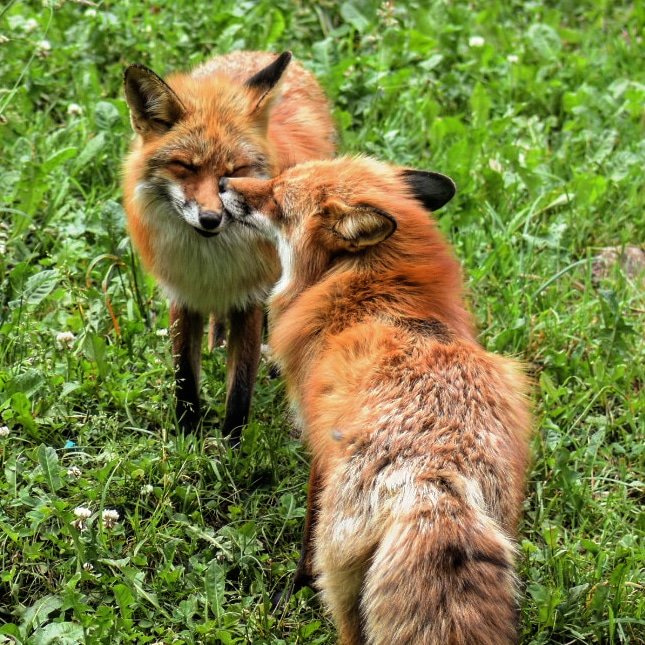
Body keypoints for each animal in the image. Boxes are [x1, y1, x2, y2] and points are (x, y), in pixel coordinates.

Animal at [121, 50, 334, 438]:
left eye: (234, 171)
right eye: (186, 166)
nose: (211, 219)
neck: (211, 262)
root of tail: (259, 53)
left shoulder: (251, 298)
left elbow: (240, 388)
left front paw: (232, 445)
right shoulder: (182, 294)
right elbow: (184, 377)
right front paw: (187, 434)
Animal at [219, 157, 532, 644]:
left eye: (277, 198)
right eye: (277, 179)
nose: (221, 183)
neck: (371, 290)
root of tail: (438, 477)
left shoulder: (321, 450)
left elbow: (306, 531)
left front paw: (294, 584)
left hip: (343, 575)